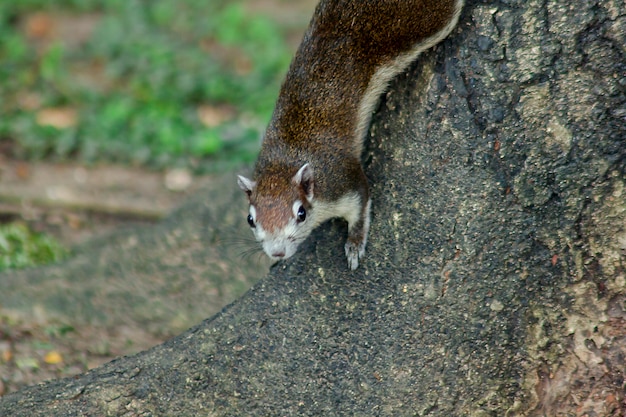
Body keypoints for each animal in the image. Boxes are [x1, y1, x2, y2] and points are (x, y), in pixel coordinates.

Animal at [239, 0, 464, 270]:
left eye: (301, 213)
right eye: (250, 219)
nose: (278, 252)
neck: (284, 163)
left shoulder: (344, 182)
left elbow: (361, 205)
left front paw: (355, 245)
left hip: (432, 21)